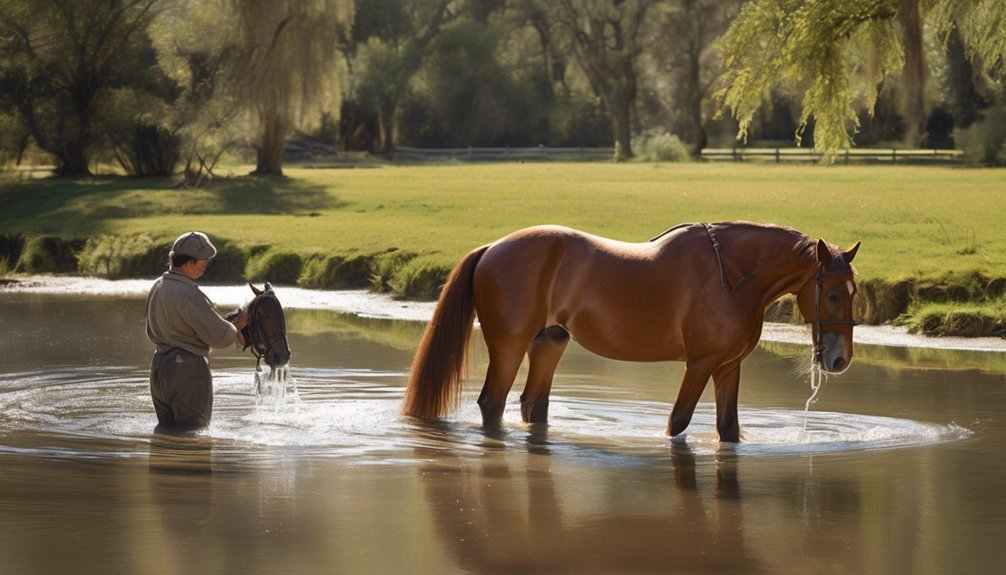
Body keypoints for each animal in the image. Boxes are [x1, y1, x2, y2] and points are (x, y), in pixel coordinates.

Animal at [404, 222, 861, 442]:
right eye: (833, 294)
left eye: (853, 292)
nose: (840, 359)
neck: (732, 276)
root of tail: (492, 248)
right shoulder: (700, 364)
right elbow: (678, 422)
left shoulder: (728, 367)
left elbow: (728, 430)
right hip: (508, 348)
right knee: (491, 404)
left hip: (548, 344)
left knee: (532, 405)